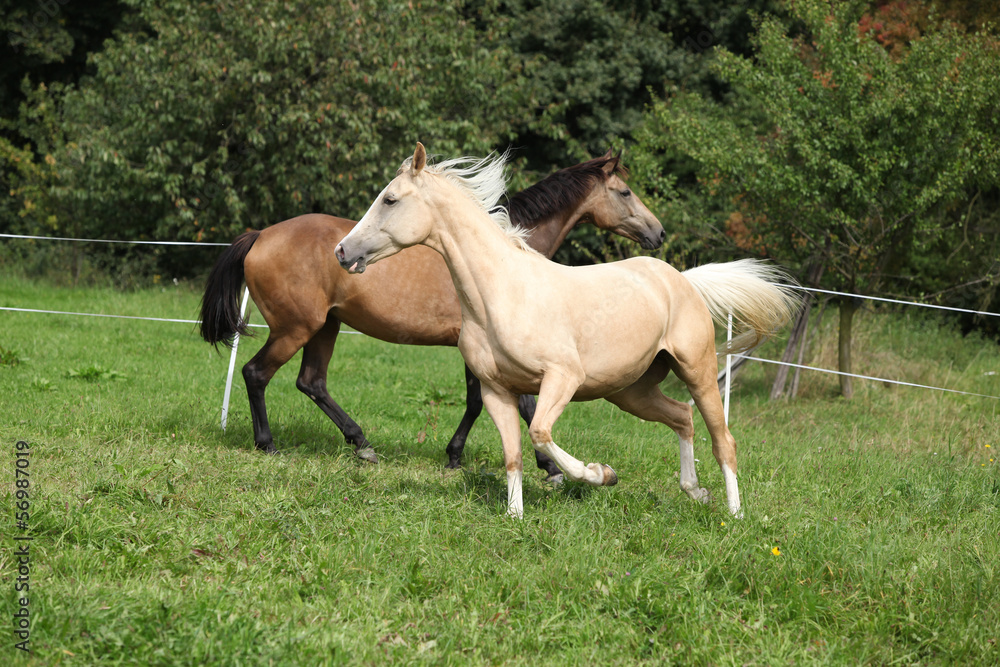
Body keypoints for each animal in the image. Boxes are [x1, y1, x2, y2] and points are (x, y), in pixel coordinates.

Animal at [200, 151, 665, 479]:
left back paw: (362, 444)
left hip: (325, 326)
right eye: (625, 192)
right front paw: (547, 468)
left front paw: (460, 455)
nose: (658, 232)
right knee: (256, 374)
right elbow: (513, 404)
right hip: (296, 327)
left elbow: (487, 403)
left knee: (311, 382)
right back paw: (268, 444)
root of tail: (261, 234)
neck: (500, 256)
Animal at [335, 143, 798, 518]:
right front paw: (515, 516)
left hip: (697, 370)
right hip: (630, 391)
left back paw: (734, 514)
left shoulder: (561, 378)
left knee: (724, 440)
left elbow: (540, 432)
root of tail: (682, 280)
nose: (342, 251)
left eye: (390, 199)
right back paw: (695, 492)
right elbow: (513, 454)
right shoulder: (496, 390)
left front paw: (600, 474)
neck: (500, 292)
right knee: (682, 417)